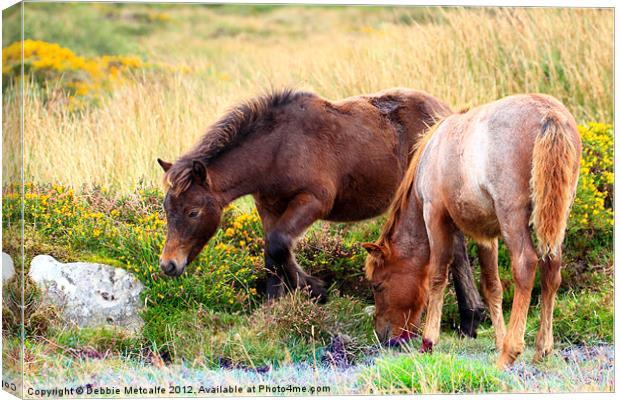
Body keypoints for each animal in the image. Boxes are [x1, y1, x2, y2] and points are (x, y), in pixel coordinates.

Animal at [155, 86, 484, 334]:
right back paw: (470, 318)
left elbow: (278, 245)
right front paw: (272, 310)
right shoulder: (268, 208)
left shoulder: (313, 200)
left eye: (193, 212)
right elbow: (272, 254)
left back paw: (470, 318)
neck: (277, 149)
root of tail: (448, 114)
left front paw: (316, 289)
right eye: (168, 210)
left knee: (455, 249)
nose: (168, 265)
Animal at [364, 94, 580, 368]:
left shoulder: (435, 216)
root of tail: (549, 114)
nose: (382, 337)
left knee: (525, 265)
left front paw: (428, 342)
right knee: (551, 270)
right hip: (555, 216)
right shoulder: (487, 234)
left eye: (377, 285)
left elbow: (437, 276)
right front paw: (498, 339)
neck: (434, 152)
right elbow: (492, 286)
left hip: (513, 217)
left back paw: (510, 352)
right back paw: (541, 350)